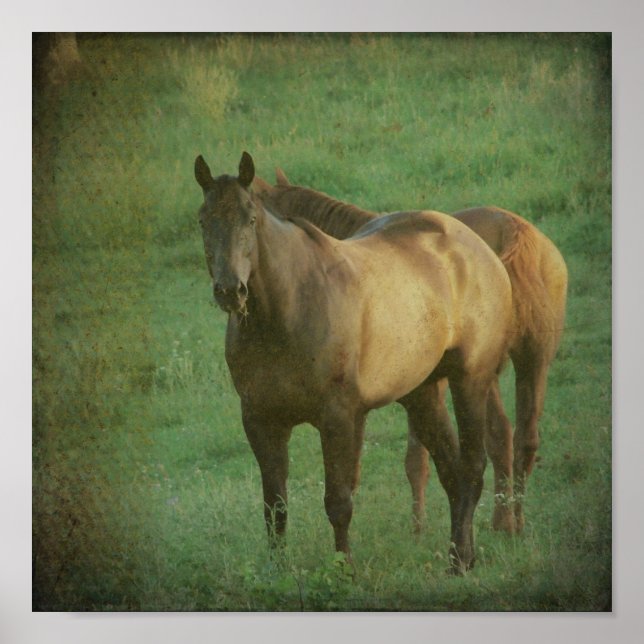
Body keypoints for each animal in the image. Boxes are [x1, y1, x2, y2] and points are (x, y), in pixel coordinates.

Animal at [195, 152, 512, 573]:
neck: (286, 311)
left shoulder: (338, 417)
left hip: (470, 381)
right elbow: (274, 507)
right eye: (204, 220)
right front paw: (277, 573)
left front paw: (344, 571)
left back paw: (458, 562)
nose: (231, 290)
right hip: (422, 393)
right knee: (453, 473)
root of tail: (478, 248)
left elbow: (339, 502)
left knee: (473, 469)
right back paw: (464, 554)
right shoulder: (261, 420)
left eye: (250, 218)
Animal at [253, 168, 568, 533]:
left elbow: (404, 461)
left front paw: (418, 529)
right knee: (524, 439)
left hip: (482, 373)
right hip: (534, 361)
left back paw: (502, 522)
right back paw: (515, 523)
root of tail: (515, 230)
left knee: (500, 436)